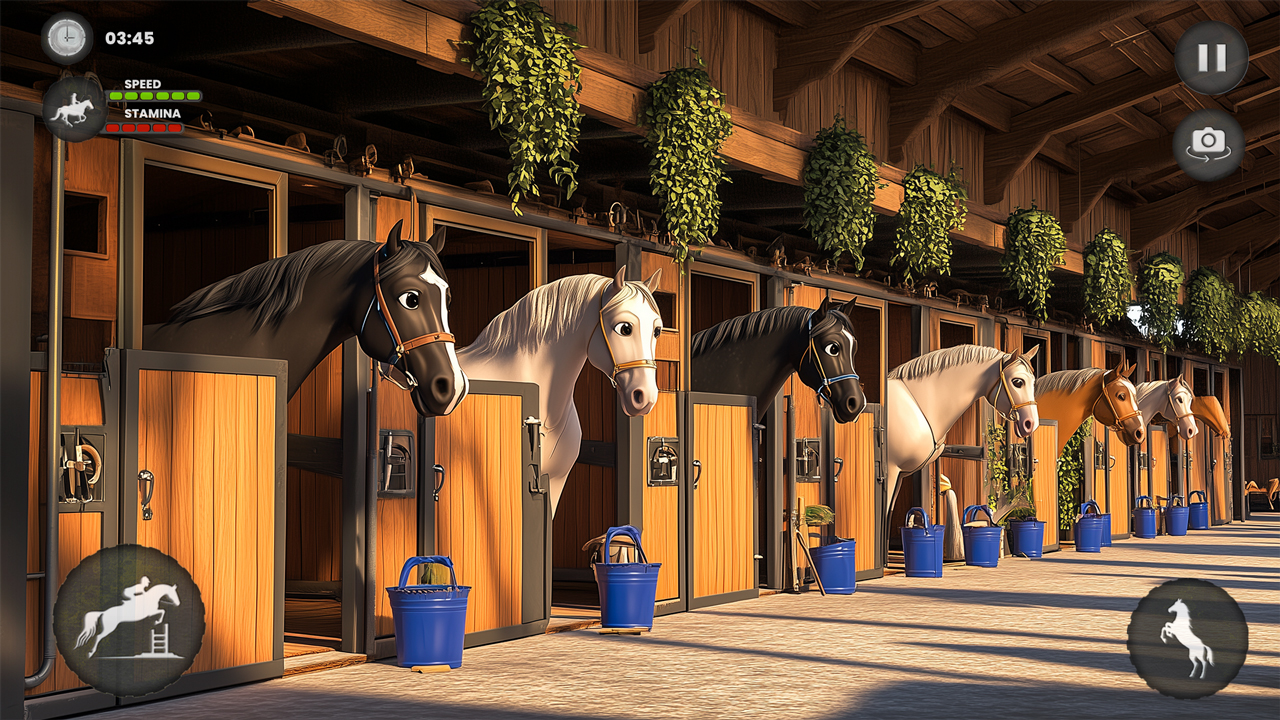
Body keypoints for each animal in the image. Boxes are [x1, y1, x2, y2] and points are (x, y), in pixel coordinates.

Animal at [885, 345, 1041, 538]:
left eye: (1033, 382)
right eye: (1018, 382)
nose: (1031, 423)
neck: (916, 403)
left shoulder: (899, 476)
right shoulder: (891, 472)